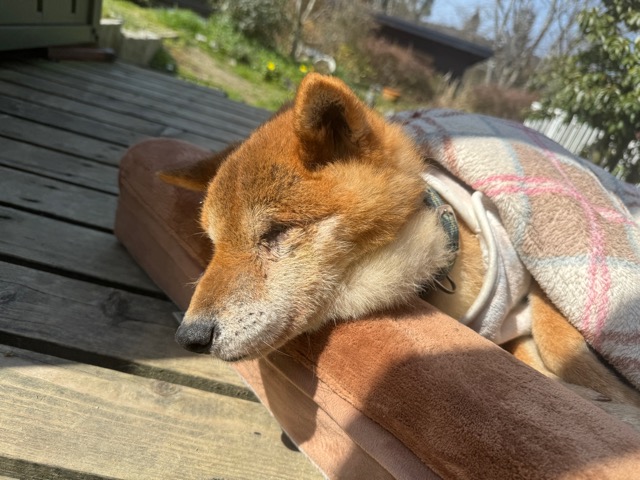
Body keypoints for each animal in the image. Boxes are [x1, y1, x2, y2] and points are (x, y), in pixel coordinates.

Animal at [160, 73, 640, 429]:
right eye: (215, 243)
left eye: (276, 232)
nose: (189, 336)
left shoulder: (536, 284)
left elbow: (560, 347)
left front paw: (612, 403)